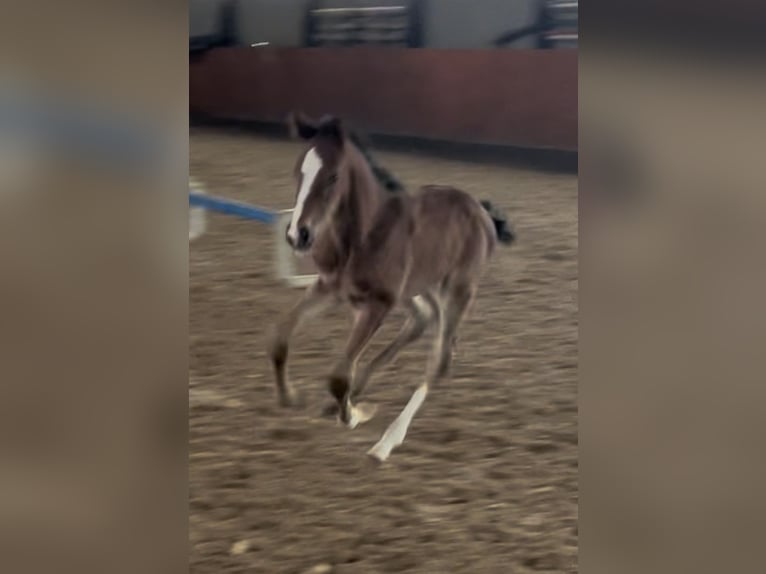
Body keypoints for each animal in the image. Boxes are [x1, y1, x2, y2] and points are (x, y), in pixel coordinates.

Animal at [269, 113, 515, 461]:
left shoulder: (379, 303)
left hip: (459, 290)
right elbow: (280, 338)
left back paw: (385, 443)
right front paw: (291, 397)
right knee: (424, 320)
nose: (297, 235)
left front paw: (352, 415)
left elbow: (339, 376)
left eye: (332, 177)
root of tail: (483, 213)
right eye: (298, 172)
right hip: (422, 286)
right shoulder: (331, 288)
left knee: (439, 361)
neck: (364, 234)